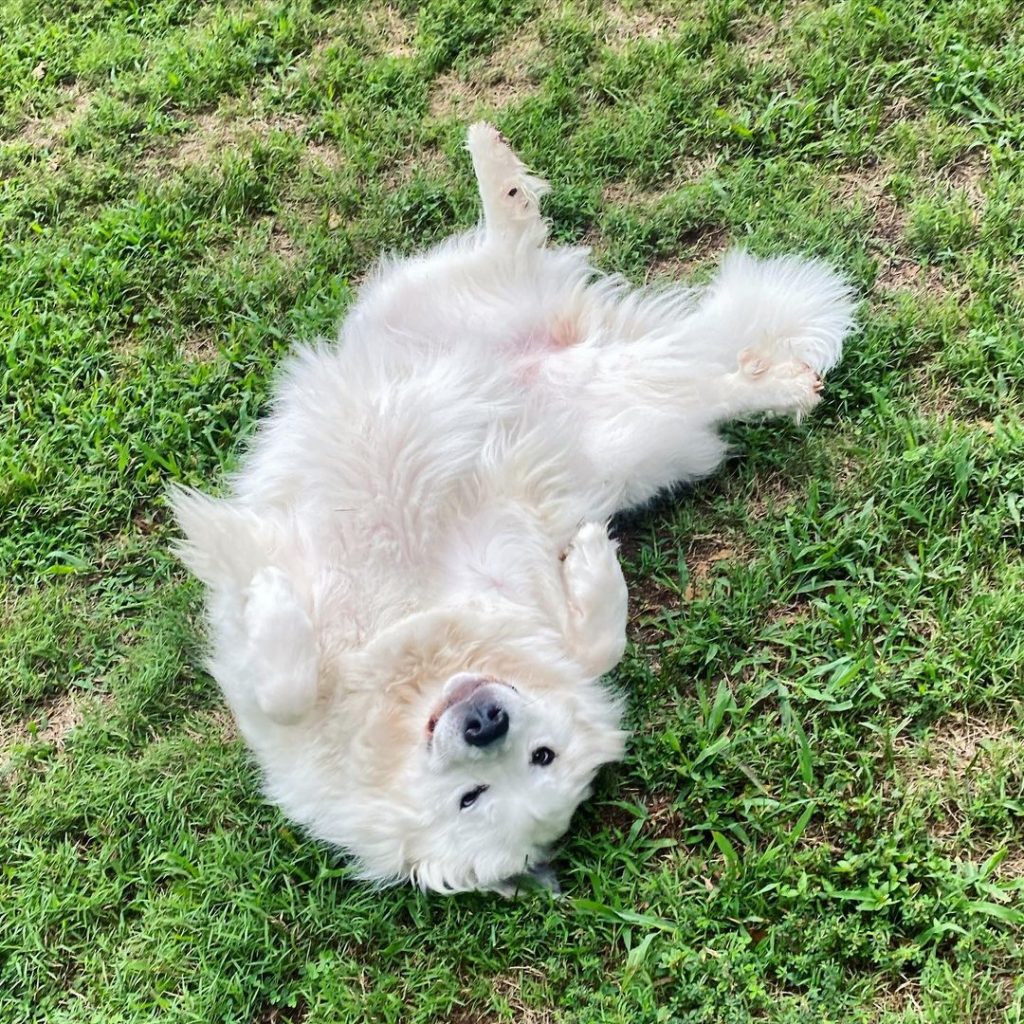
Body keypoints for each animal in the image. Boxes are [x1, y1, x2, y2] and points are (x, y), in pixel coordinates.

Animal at [169, 123, 856, 897]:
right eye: (472, 797)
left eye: (542, 757)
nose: (485, 722)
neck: (415, 656)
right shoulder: (275, 705)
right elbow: (284, 688)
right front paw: (277, 602)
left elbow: (593, 644)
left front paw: (591, 567)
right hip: (604, 407)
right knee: (695, 367)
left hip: (526, 363)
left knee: (528, 252)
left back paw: (498, 172)